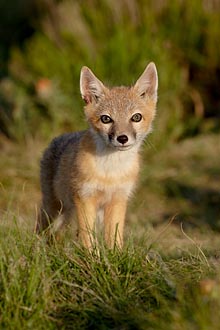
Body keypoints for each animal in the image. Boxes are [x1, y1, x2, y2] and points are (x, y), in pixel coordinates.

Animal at [36, 62, 157, 249]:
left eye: (136, 117)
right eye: (106, 119)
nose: (122, 138)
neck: (110, 172)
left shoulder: (118, 199)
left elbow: (114, 238)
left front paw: (115, 256)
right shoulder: (85, 198)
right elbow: (88, 238)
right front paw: (91, 256)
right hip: (55, 209)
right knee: (42, 230)